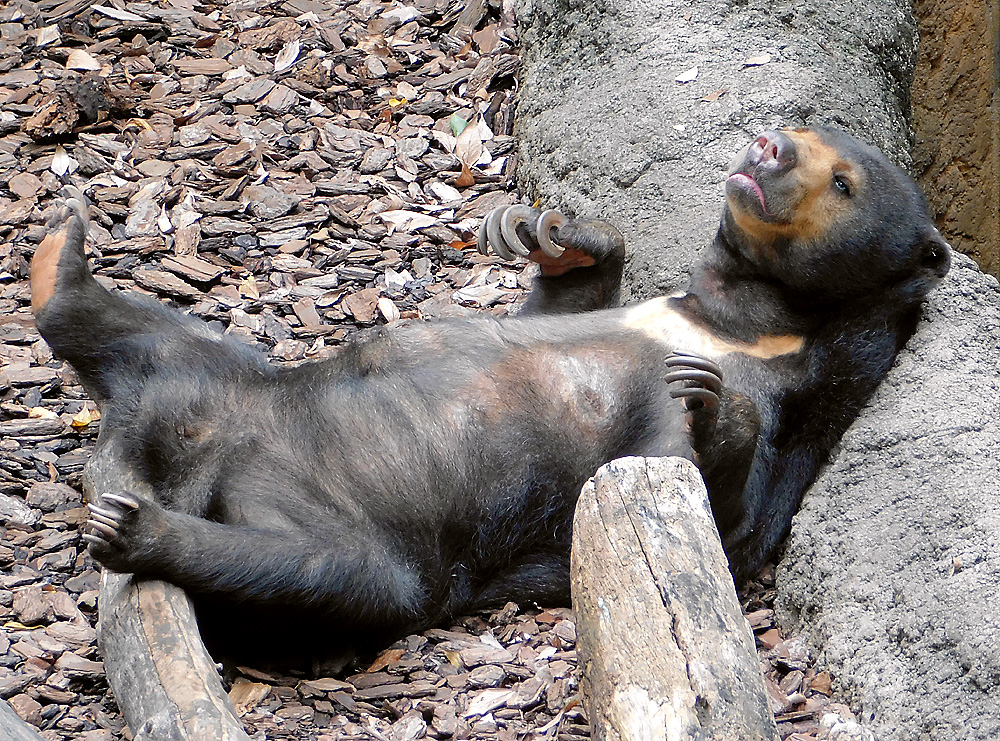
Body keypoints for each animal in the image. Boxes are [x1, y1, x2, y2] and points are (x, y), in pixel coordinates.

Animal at [31, 129, 948, 652]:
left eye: (844, 183)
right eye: (794, 131)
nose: (767, 148)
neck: (743, 320)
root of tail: (189, 460)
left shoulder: (806, 398)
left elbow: (732, 518)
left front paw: (710, 402)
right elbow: (558, 303)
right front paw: (554, 231)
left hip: (367, 539)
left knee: (319, 568)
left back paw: (138, 529)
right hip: (228, 376)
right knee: (147, 334)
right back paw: (55, 259)